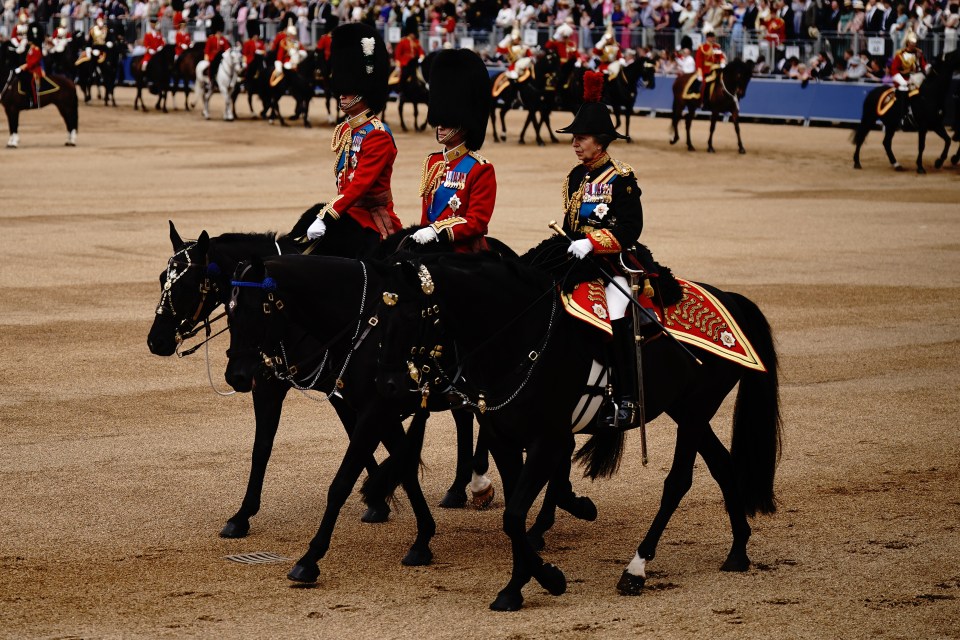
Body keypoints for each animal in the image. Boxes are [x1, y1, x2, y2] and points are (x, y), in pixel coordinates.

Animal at [368, 240, 780, 608]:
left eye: (411, 316)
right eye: (375, 318)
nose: (387, 386)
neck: (520, 336)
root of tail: (730, 298)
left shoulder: (548, 440)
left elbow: (515, 515)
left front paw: (544, 578)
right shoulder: (504, 437)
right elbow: (514, 514)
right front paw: (522, 583)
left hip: (694, 410)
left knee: (678, 482)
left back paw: (636, 568)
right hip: (685, 409)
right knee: (722, 464)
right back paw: (738, 550)